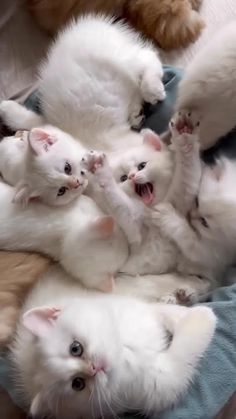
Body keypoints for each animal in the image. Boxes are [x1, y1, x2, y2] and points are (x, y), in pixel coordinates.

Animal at [0, 15, 165, 153]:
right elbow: (25, 119)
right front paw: (6, 108)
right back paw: (136, 113)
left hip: (122, 62)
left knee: (149, 59)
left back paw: (153, 91)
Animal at [11, 266, 217, 419]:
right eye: (77, 384)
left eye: (75, 348)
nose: (94, 368)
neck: (123, 349)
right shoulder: (163, 382)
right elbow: (189, 342)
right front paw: (205, 315)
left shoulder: (142, 310)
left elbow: (166, 313)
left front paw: (182, 312)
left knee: (162, 282)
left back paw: (187, 292)